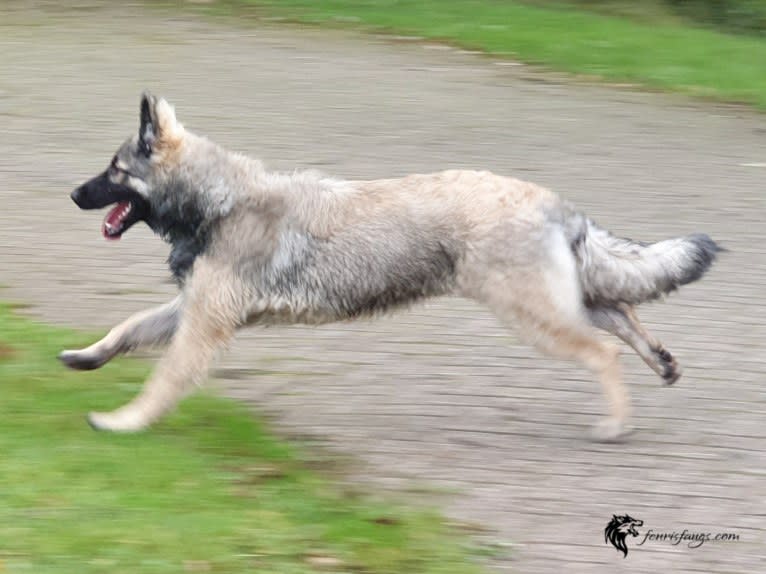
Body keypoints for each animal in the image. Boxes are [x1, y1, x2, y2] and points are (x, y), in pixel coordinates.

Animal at [58, 94, 720, 444]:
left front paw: (124, 421)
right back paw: (661, 361)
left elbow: (163, 378)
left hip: (531, 312)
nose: (71, 194)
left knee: (602, 349)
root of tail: (555, 203)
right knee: (623, 313)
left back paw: (616, 422)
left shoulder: (203, 324)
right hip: (558, 301)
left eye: (115, 170)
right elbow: (129, 329)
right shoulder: (192, 308)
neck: (222, 198)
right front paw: (87, 357)